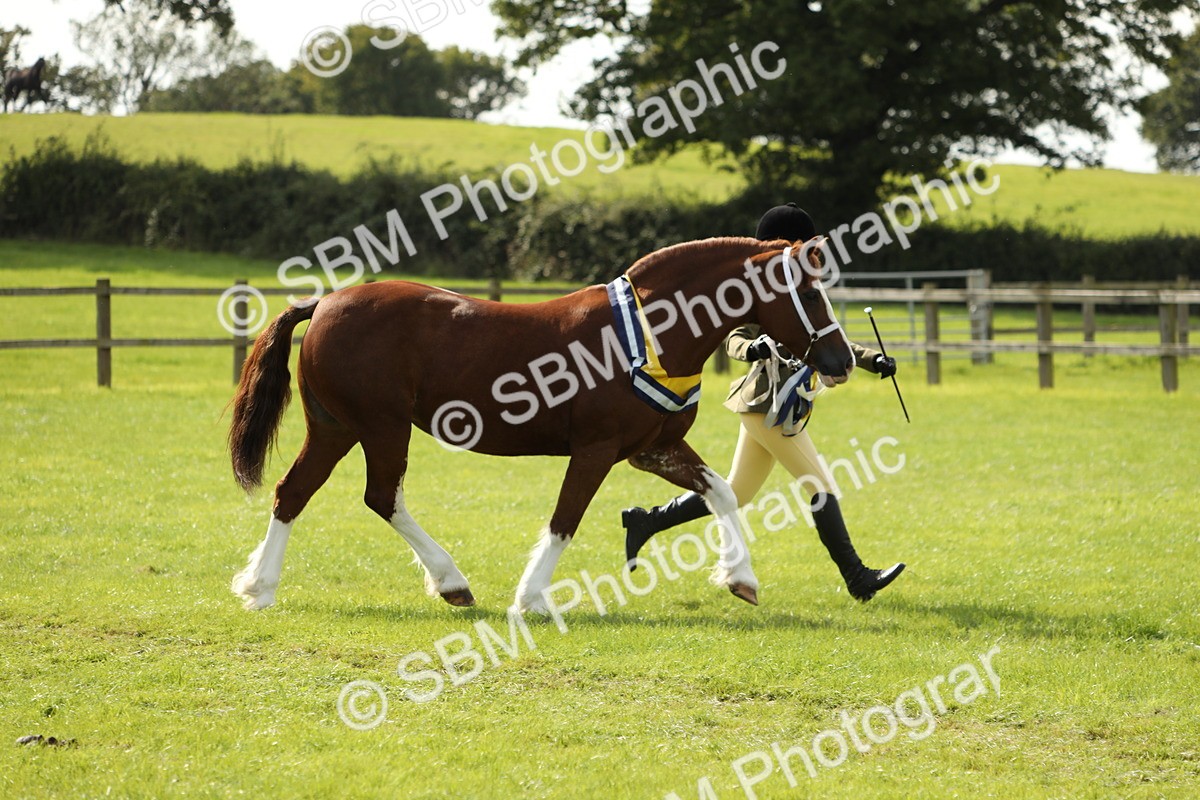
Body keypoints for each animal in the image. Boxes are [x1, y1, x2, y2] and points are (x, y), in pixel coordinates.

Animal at [227, 236, 854, 614]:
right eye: (807, 291)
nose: (843, 361)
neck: (649, 334)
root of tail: (325, 304)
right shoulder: (597, 450)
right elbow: (565, 519)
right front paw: (530, 597)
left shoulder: (654, 448)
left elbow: (720, 491)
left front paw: (740, 577)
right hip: (380, 427)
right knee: (381, 496)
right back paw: (451, 581)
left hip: (336, 428)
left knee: (294, 491)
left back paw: (259, 586)